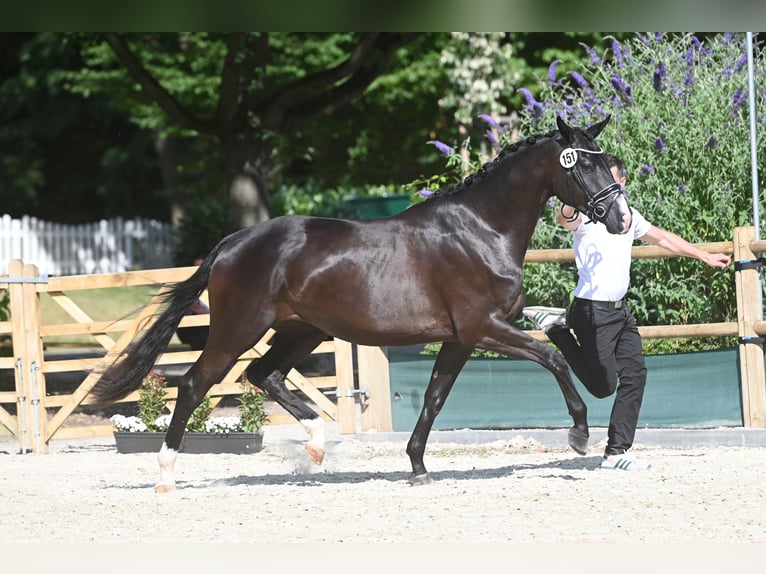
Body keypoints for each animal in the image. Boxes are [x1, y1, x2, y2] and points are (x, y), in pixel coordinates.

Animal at [91, 115, 632, 492]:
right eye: (582, 164)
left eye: (604, 158)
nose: (621, 218)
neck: (481, 229)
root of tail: (230, 244)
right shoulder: (484, 326)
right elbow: (551, 357)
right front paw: (579, 434)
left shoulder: (459, 339)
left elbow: (434, 398)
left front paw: (417, 467)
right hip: (237, 330)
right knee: (194, 384)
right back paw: (166, 475)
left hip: (302, 330)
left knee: (264, 374)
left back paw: (315, 446)